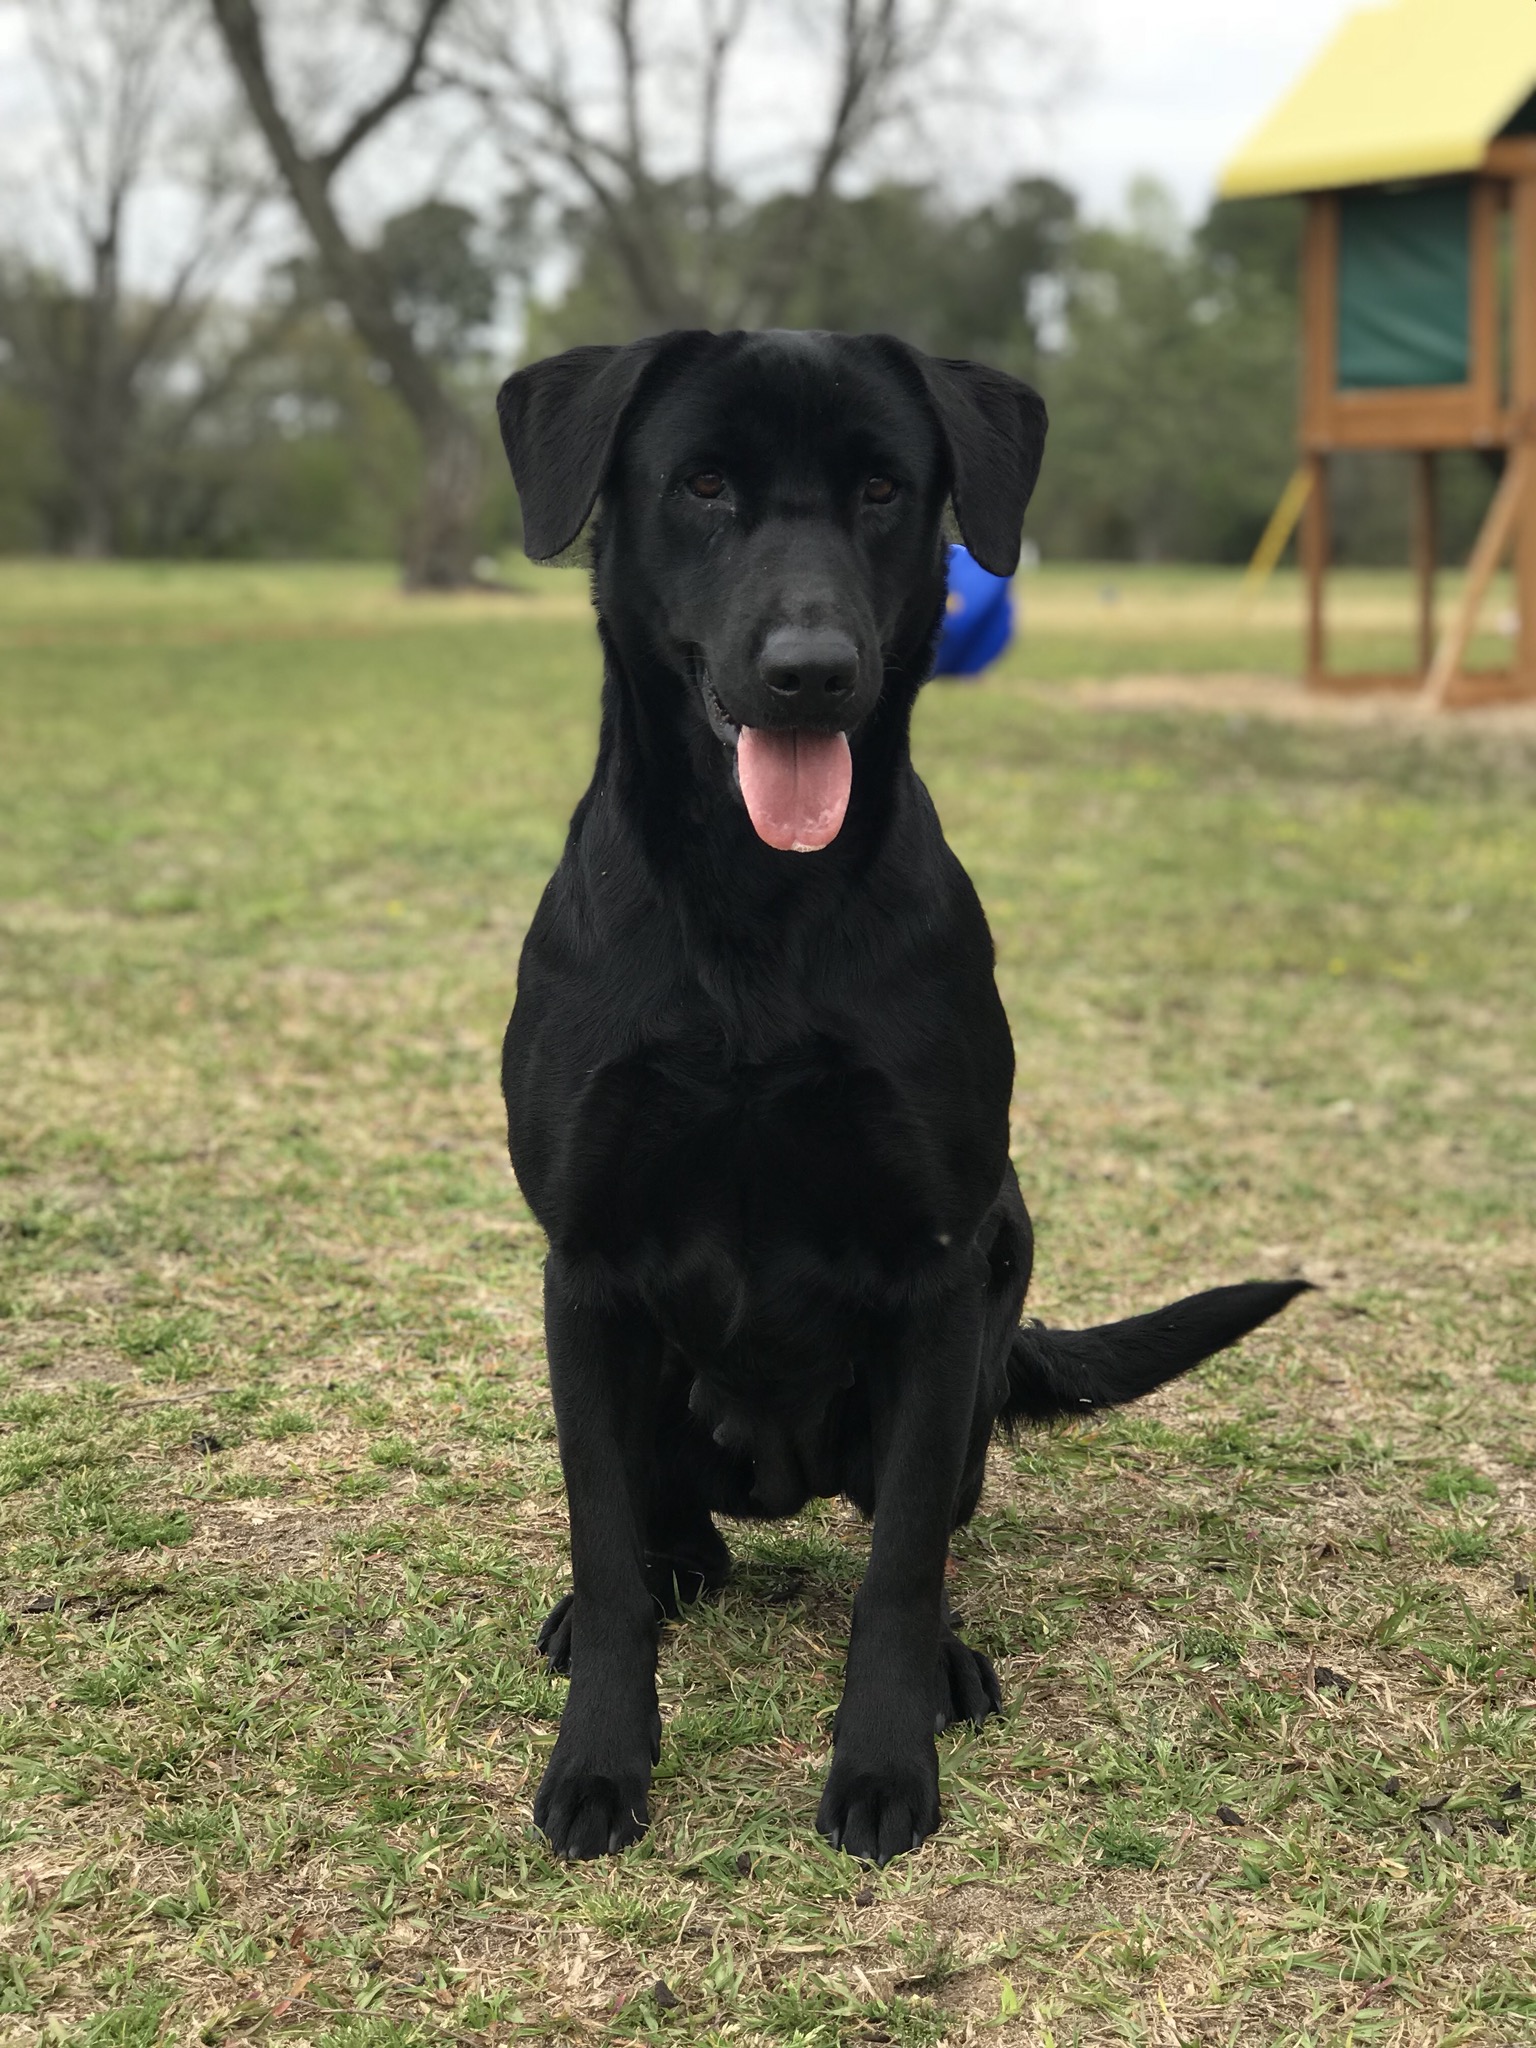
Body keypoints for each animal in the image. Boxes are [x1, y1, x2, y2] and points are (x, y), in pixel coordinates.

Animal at [495, 327, 1310, 1867]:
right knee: (663, 1532)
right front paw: (601, 1761)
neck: (755, 909)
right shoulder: (586, 1266)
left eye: (882, 491)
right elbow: (604, 1542)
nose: (811, 672)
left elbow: (898, 1570)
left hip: (990, 1299)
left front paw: (886, 1754)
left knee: (914, 1528)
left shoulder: (939, 1271)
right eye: (702, 484)